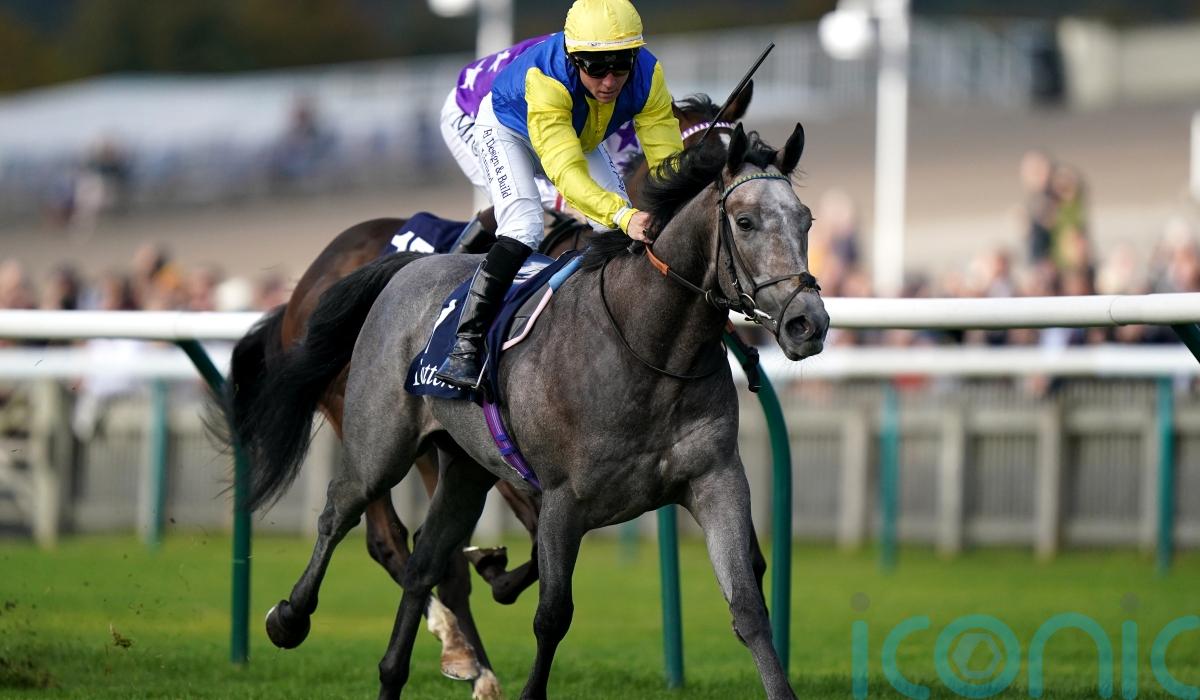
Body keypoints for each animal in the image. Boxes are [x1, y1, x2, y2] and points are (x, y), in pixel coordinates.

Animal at [234, 122, 826, 699]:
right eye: (745, 221)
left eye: (806, 221)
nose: (808, 323)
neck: (649, 347)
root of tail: (403, 268)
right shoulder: (563, 499)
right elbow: (552, 614)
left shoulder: (715, 479)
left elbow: (748, 606)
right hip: (380, 445)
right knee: (344, 516)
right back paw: (289, 618)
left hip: (465, 467)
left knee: (427, 563)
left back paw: (414, 670)